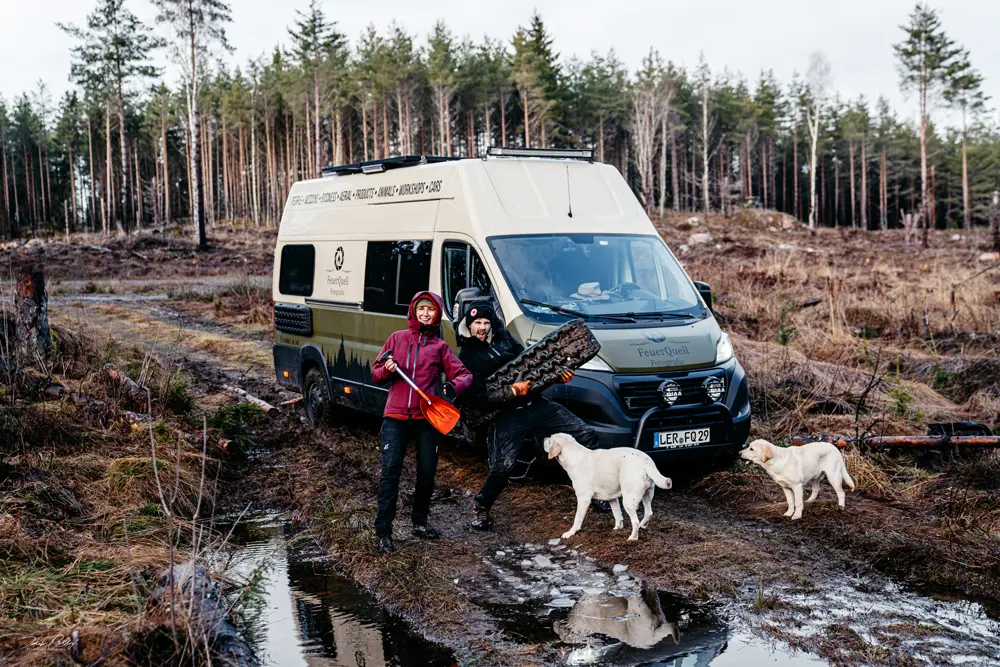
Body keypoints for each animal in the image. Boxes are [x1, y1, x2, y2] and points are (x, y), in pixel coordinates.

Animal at [540, 434, 672, 544]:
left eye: (550, 439)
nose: (544, 438)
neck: (575, 456)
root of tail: (646, 463)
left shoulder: (583, 499)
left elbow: (577, 519)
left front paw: (570, 533)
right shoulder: (612, 498)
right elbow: (617, 514)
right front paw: (617, 528)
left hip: (629, 500)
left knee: (635, 521)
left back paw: (633, 538)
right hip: (646, 495)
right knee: (648, 513)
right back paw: (642, 526)